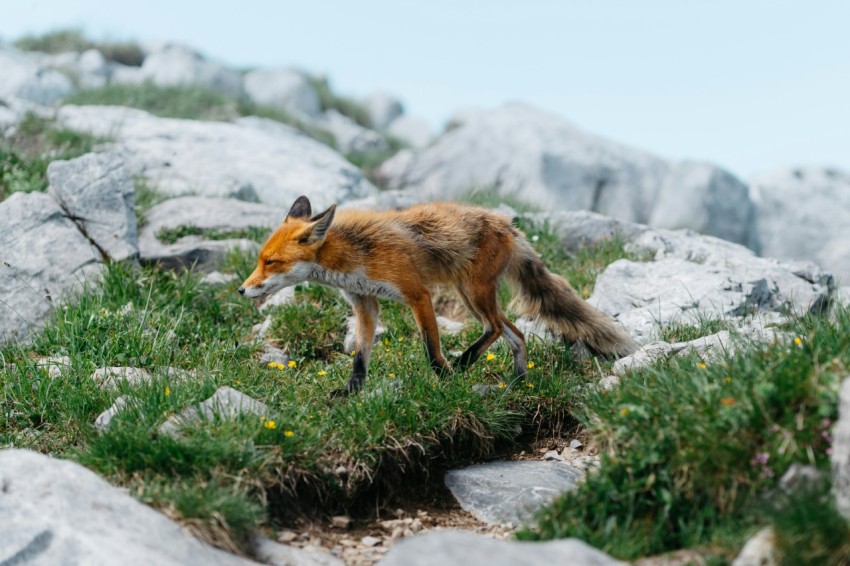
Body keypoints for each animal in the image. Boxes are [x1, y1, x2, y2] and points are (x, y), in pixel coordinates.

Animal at [240, 197, 636, 398]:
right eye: (260, 259)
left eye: (270, 262)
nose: (242, 289)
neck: (354, 254)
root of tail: (508, 225)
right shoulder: (365, 302)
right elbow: (361, 357)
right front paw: (351, 391)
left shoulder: (418, 294)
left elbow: (431, 348)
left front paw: (445, 378)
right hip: (471, 295)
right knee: (516, 334)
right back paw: (519, 382)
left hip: (473, 293)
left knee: (496, 328)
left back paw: (466, 364)